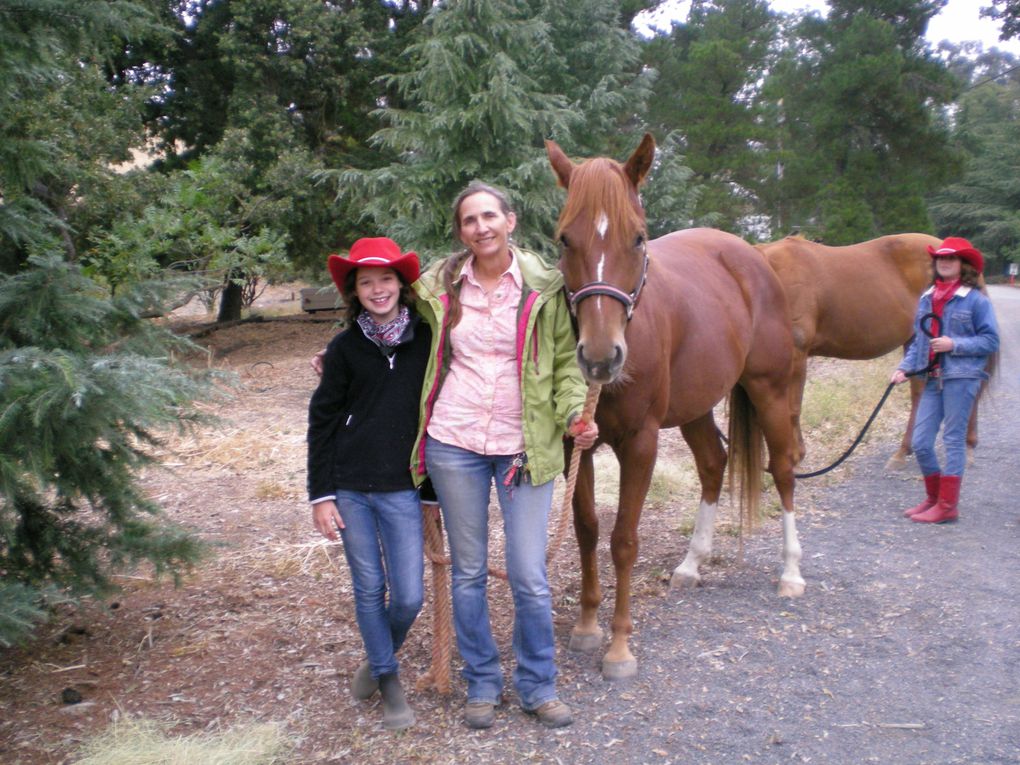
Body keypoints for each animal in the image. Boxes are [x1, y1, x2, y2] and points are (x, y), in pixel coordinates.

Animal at [550, 134, 803, 681]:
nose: (600, 358)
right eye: (563, 239)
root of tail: (753, 258)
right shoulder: (574, 445)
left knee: (784, 470)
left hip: (772, 392)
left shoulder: (641, 444)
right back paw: (691, 564)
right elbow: (586, 529)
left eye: (638, 238)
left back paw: (791, 572)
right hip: (696, 408)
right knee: (713, 463)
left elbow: (623, 540)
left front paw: (619, 647)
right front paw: (586, 626)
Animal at [758, 236, 979, 471]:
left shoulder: (796, 355)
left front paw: (794, 457)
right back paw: (905, 450)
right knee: (919, 391)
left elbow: (792, 409)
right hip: (916, 340)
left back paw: (967, 446)